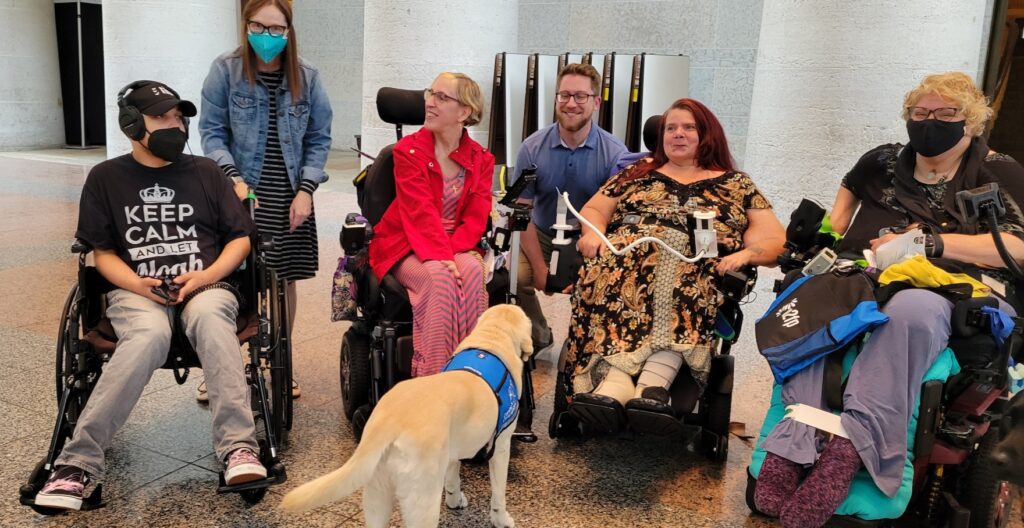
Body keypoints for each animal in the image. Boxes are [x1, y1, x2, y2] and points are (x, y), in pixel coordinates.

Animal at [282, 302, 536, 523]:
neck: (491, 340)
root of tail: (387, 422)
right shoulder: (501, 446)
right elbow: (498, 494)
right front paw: (501, 519)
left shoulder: (453, 450)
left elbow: (453, 476)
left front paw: (454, 499)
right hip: (423, 500)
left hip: (376, 497)